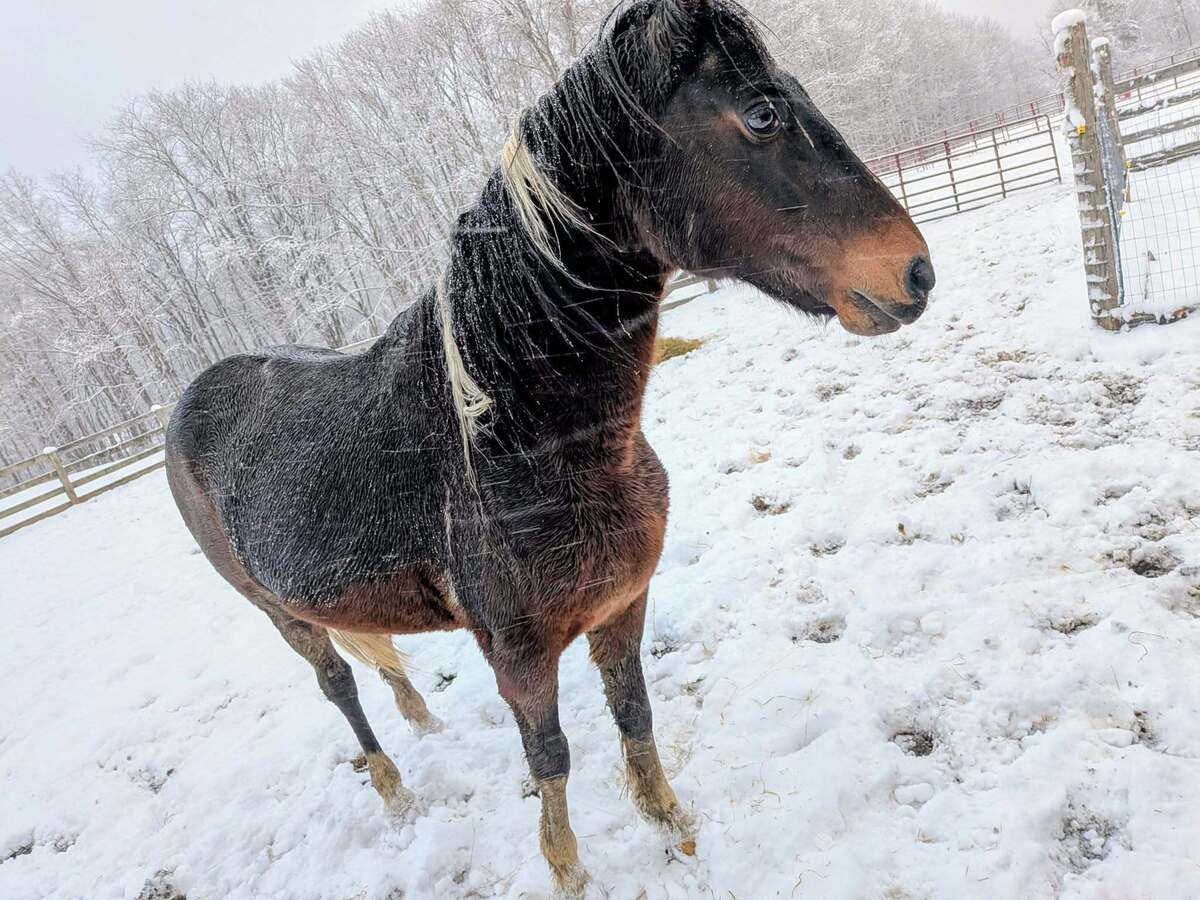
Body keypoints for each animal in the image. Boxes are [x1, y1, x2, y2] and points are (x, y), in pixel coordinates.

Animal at [165, 0, 935, 894]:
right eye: (762, 114)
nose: (916, 273)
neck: (517, 441)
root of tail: (188, 405)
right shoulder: (520, 658)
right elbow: (553, 758)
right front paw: (568, 868)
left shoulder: (624, 605)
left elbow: (633, 712)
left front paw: (672, 823)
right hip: (277, 612)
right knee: (337, 684)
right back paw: (393, 787)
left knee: (383, 668)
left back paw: (422, 722)